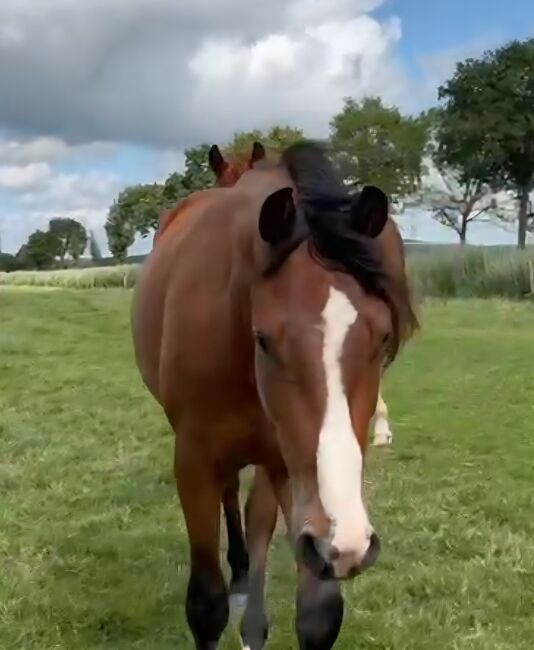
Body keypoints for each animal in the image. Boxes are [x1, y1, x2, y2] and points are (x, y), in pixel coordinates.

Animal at [131, 141, 418, 649]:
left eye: (383, 337)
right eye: (263, 339)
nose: (348, 543)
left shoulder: (291, 470)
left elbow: (318, 612)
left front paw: (257, 623)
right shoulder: (195, 460)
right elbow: (206, 606)